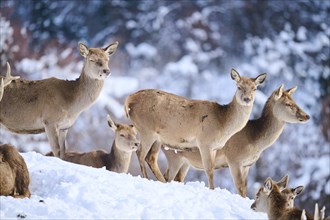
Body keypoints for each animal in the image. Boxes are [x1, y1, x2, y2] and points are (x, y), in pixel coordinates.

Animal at [125, 69, 266, 189]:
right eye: (239, 87)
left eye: (254, 88)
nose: (247, 99)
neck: (223, 123)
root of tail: (128, 100)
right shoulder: (204, 142)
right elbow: (209, 170)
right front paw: (212, 189)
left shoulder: (214, 147)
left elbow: (211, 169)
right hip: (146, 129)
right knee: (140, 153)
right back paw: (146, 178)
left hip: (157, 138)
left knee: (151, 158)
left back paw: (162, 181)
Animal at [162, 84, 310, 194]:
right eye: (288, 104)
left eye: (295, 101)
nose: (307, 116)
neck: (255, 141)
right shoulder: (234, 159)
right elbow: (239, 188)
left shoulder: (247, 165)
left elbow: (245, 189)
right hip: (173, 156)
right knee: (167, 176)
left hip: (185, 162)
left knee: (177, 177)